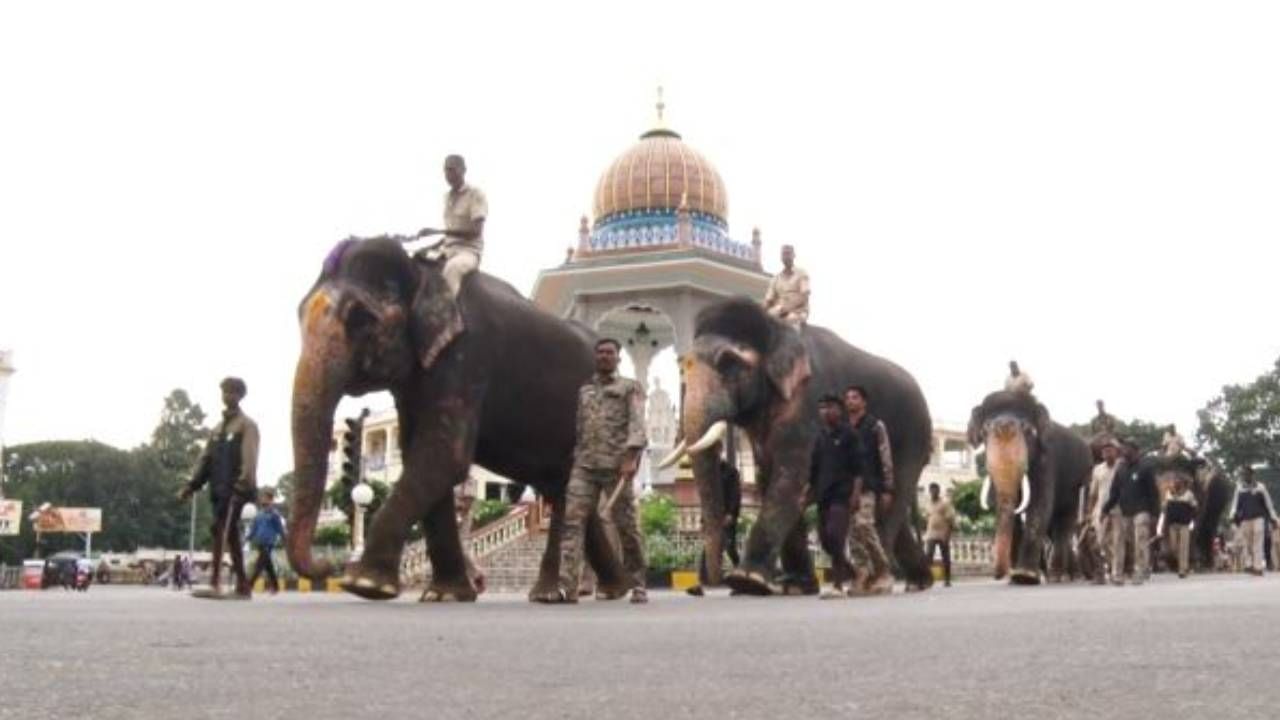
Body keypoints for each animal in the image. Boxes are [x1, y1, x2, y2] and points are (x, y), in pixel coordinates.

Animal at [289, 235, 629, 599]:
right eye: (299, 314)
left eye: (361, 319)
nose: (328, 568)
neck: (422, 270)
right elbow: (421, 455)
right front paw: (445, 595)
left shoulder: (467, 356)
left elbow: (443, 457)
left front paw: (366, 585)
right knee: (564, 490)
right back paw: (603, 591)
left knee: (566, 489)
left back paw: (564, 594)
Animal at [660, 297, 931, 594]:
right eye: (683, 366)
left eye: (729, 363)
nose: (705, 583)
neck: (775, 329)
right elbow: (770, 479)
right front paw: (795, 586)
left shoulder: (807, 405)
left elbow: (789, 478)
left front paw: (747, 580)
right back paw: (917, 581)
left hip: (913, 437)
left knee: (887, 505)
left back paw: (874, 579)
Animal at [967, 386, 1090, 584]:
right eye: (985, 430)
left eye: (1027, 429)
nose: (997, 575)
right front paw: (1015, 578)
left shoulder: (1046, 461)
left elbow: (1039, 505)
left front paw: (1025, 577)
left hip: (1081, 481)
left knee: (1064, 524)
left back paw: (1061, 577)